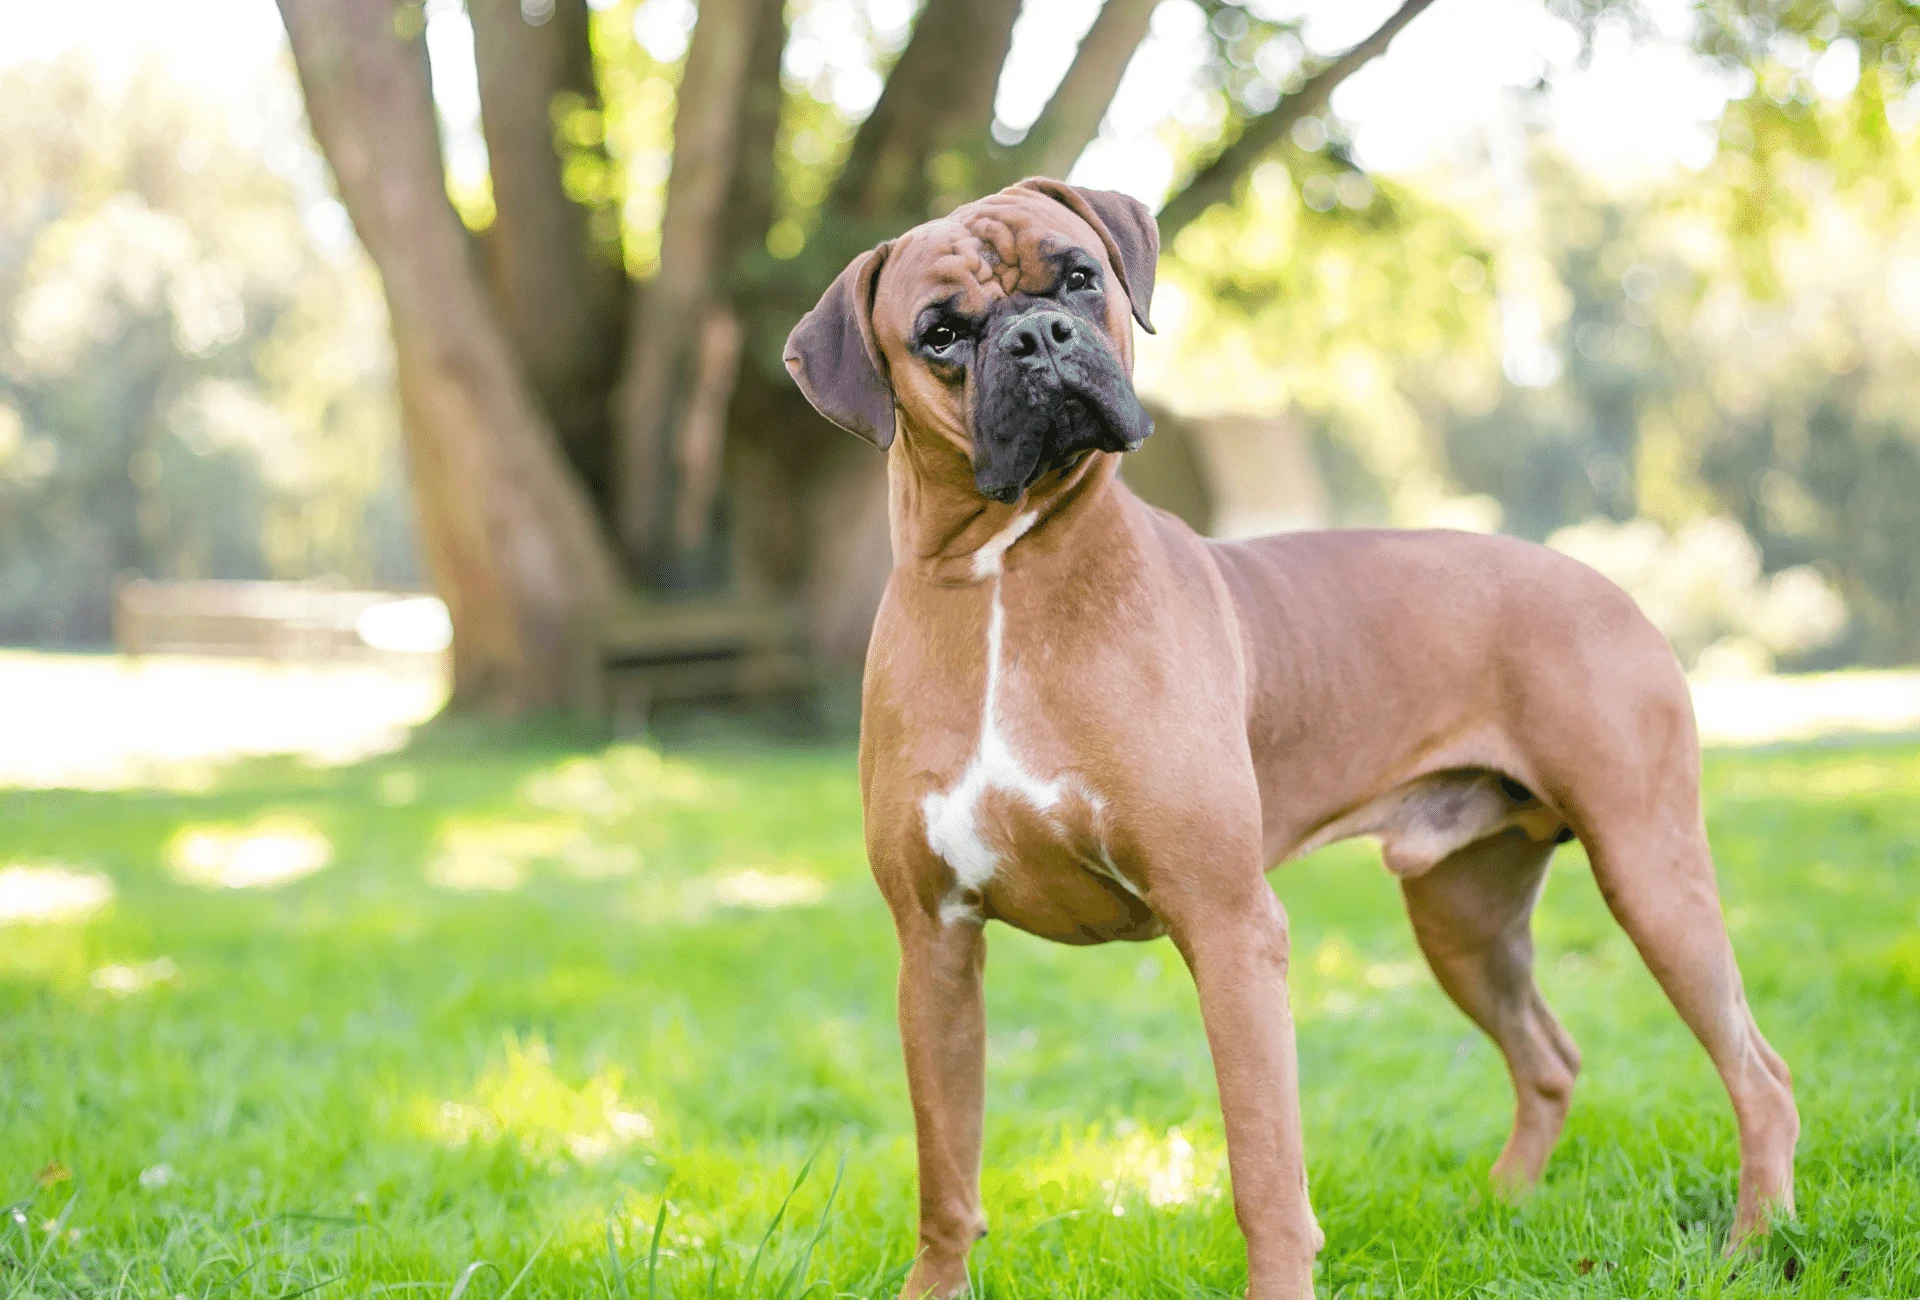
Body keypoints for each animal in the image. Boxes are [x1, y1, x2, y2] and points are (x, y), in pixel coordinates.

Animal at [779, 179, 1797, 1298]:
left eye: (1079, 276)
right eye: (942, 333)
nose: (1038, 337)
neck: (1009, 574)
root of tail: (1605, 583)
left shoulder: (1229, 929)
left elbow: (1265, 1169)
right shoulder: (936, 948)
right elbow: (946, 1173)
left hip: (1648, 873)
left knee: (1761, 1070)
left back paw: (1756, 1240)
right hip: (1466, 920)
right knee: (1549, 1057)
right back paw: (1503, 1207)